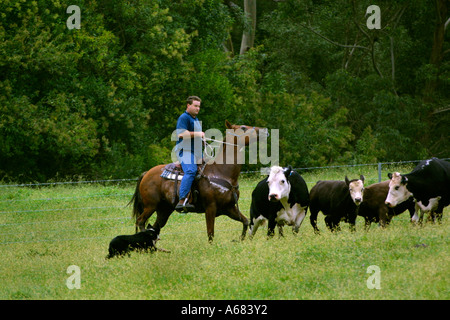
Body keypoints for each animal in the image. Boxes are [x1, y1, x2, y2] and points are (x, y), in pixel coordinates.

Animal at [129, 121, 268, 241]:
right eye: (243, 128)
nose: (265, 130)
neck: (221, 171)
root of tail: (146, 173)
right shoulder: (210, 208)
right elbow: (210, 234)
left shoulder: (229, 208)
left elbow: (245, 221)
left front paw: (241, 240)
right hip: (150, 206)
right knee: (140, 221)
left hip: (164, 210)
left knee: (155, 226)